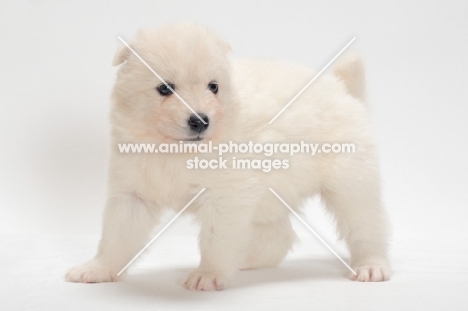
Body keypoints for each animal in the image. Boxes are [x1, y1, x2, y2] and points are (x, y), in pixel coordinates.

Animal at [64, 23, 390, 292]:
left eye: (214, 86)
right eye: (165, 88)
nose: (200, 120)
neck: (175, 149)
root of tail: (342, 89)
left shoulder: (227, 194)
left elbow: (216, 237)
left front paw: (208, 275)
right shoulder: (132, 191)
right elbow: (117, 235)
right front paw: (97, 269)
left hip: (350, 181)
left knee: (366, 223)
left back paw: (371, 266)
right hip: (272, 194)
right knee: (277, 235)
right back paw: (246, 260)